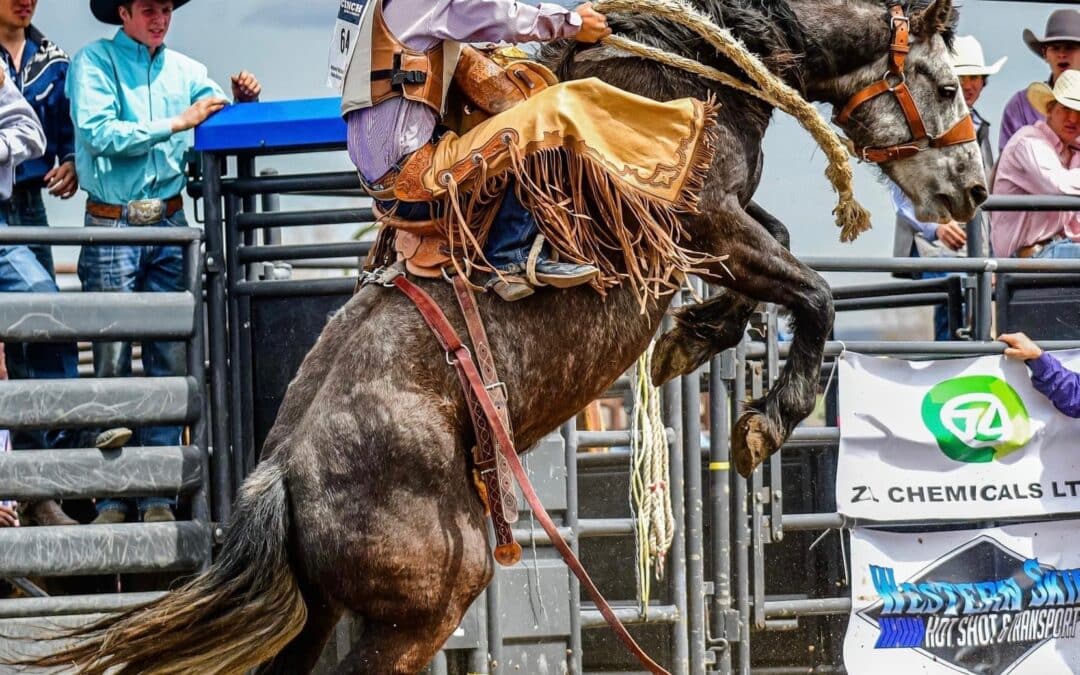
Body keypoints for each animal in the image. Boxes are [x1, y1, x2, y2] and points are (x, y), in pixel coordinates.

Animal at [25, 1, 989, 673]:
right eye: (946, 87)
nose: (974, 191)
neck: (682, 73)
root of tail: (280, 478)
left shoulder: (716, 230)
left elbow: (780, 260)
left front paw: (694, 335)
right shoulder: (705, 217)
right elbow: (814, 292)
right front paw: (762, 418)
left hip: (321, 612)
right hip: (423, 606)